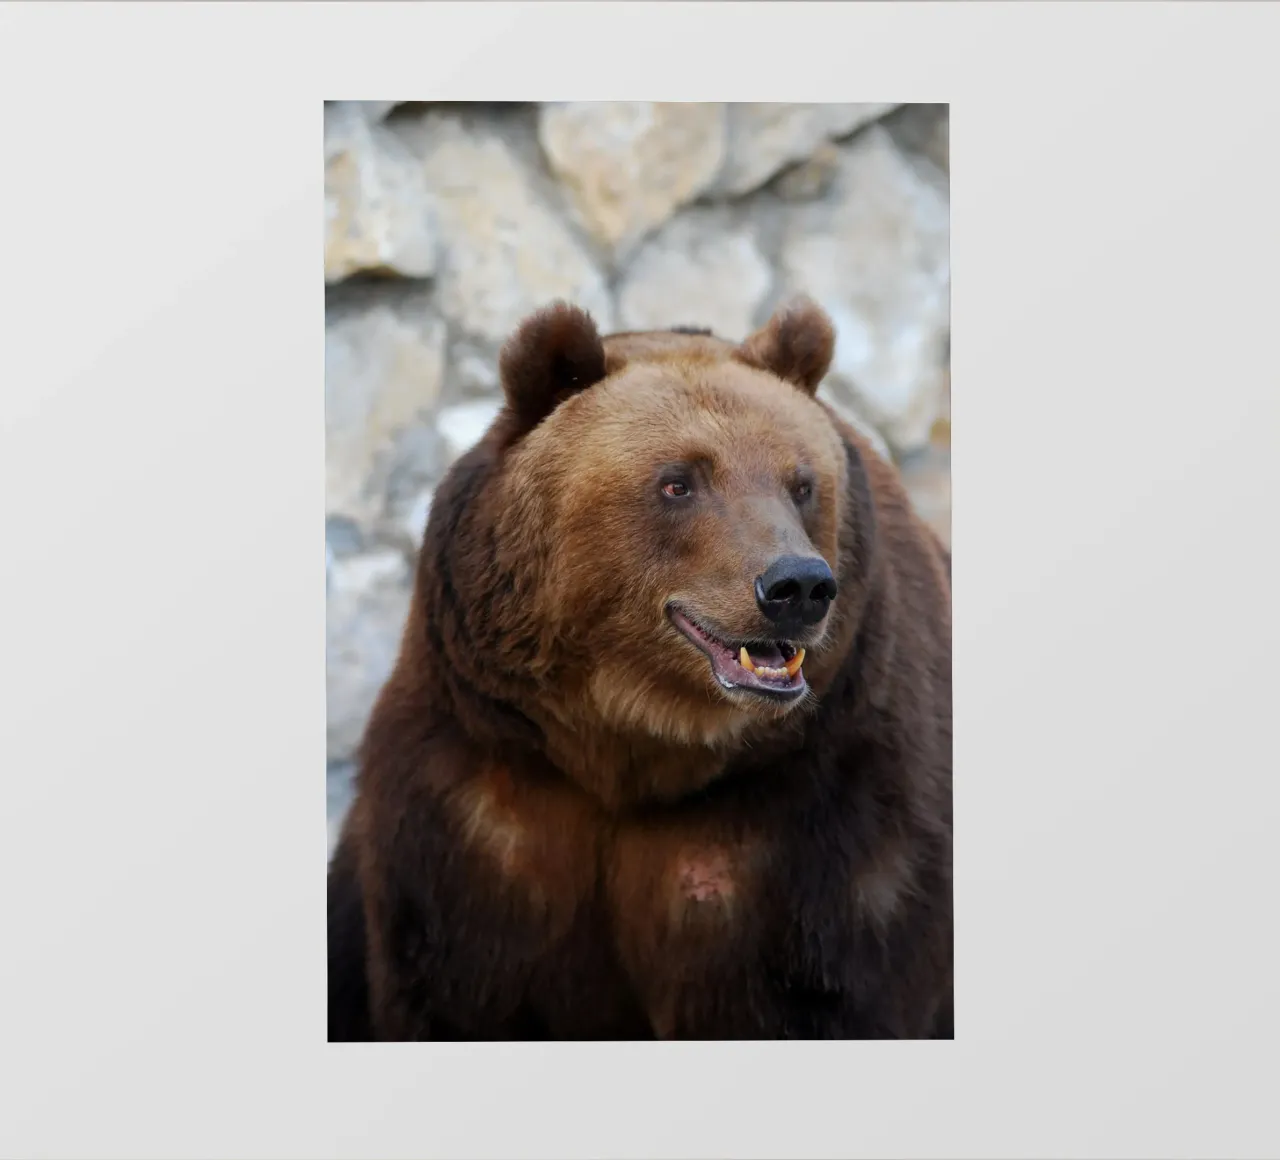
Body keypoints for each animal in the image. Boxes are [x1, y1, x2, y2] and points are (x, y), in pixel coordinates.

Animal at [327, 296, 953, 1041]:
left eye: (802, 483)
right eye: (679, 481)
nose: (797, 585)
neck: (633, 744)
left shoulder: (820, 817)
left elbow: (824, 991)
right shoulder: (483, 804)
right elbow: (456, 989)